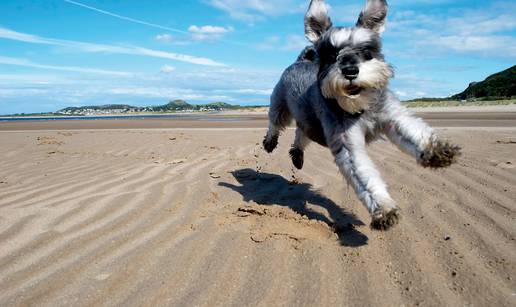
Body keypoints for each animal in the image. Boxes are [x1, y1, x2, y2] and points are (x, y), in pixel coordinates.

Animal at [264, 0, 462, 231]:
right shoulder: (346, 144)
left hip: (307, 120)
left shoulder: (392, 117)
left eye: (367, 51)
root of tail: (301, 60)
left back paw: (297, 154)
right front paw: (383, 208)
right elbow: (364, 175)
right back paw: (270, 142)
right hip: (280, 106)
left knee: (301, 133)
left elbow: (413, 132)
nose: (350, 71)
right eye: (331, 55)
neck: (360, 107)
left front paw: (437, 151)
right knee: (275, 122)